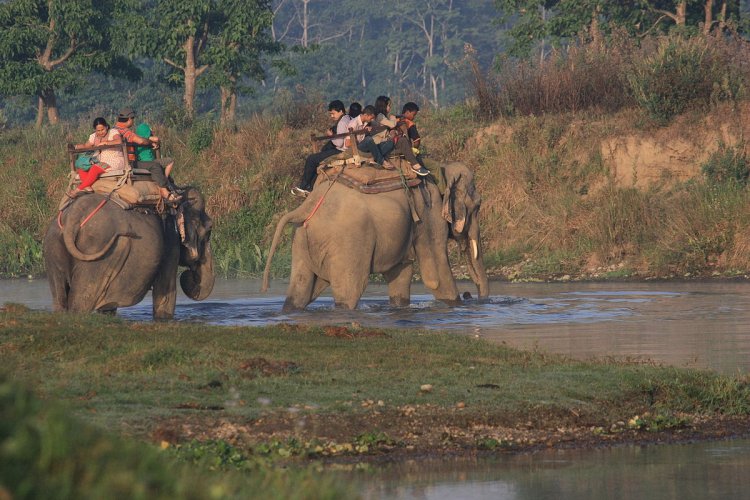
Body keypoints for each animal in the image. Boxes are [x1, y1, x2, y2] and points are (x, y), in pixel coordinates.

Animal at [43, 186, 214, 318]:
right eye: (209, 229)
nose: (188, 275)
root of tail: (73, 217)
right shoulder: (170, 241)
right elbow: (165, 294)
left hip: (52, 247)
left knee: (59, 298)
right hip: (97, 253)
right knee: (81, 301)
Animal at [262, 161, 490, 308]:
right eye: (478, 206)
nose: (471, 296)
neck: (441, 171)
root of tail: (306, 206)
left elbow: (400, 272)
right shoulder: (429, 211)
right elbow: (435, 275)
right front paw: (455, 304)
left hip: (301, 239)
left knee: (299, 291)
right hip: (348, 244)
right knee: (349, 291)